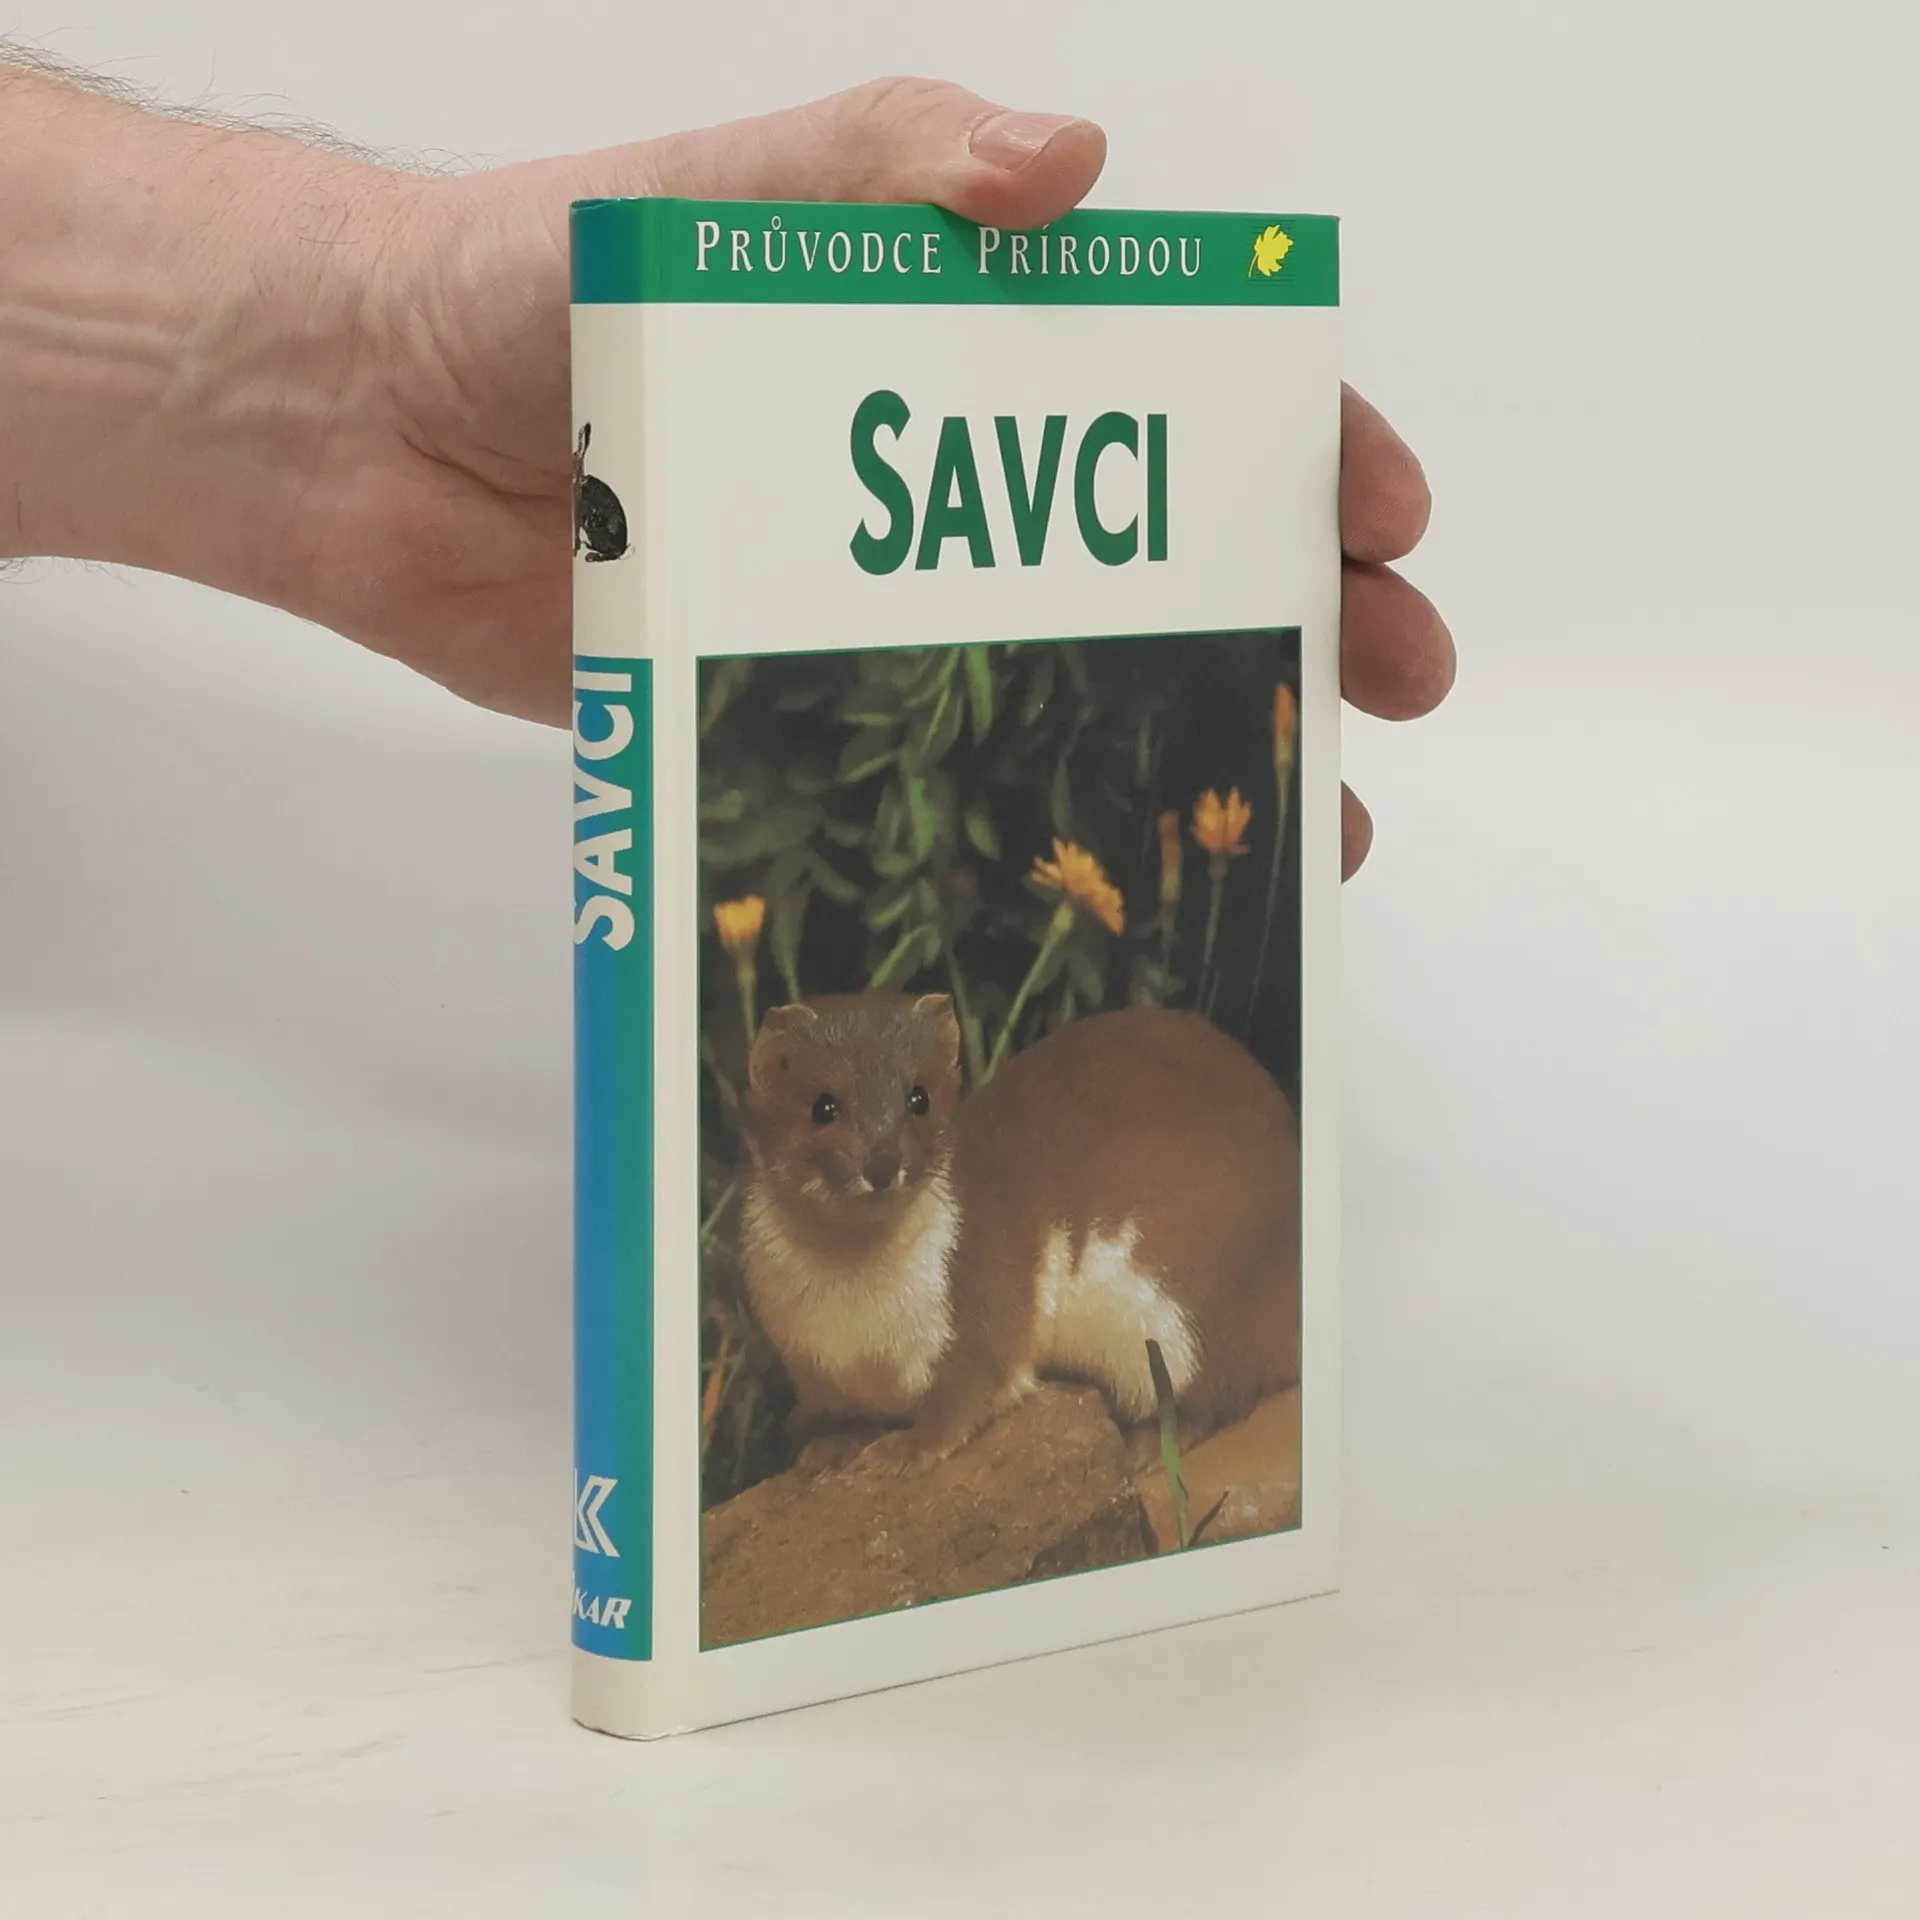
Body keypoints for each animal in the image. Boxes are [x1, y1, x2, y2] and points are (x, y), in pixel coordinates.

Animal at [736, 991, 1300, 1470]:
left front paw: (905, 1448)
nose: (882, 1162)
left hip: (1186, 1310)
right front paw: (827, 1447)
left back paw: (1148, 1446)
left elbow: (969, 1391)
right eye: (823, 1106)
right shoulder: (816, 1366)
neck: (850, 1316)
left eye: (919, 1097)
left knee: (1225, 1390)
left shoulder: (976, 1302)